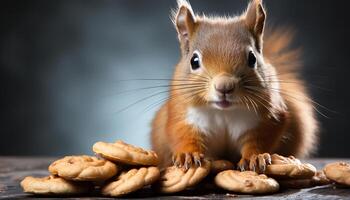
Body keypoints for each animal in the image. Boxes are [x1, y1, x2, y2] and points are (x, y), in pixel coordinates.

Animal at [149, 0, 318, 172]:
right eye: (194, 61)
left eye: (252, 58)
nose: (224, 87)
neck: (223, 112)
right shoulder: (183, 115)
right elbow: (182, 134)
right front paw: (188, 155)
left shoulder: (267, 118)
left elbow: (259, 140)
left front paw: (254, 157)